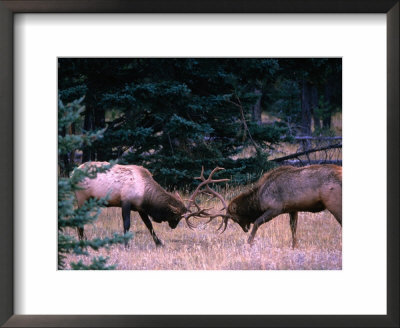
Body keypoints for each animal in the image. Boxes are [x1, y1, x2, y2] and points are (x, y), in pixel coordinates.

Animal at [73, 162, 227, 246]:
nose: (173, 226)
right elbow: (127, 225)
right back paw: (82, 241)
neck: (145, 194)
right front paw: (126, 245)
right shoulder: (125, 202)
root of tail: (72, 172)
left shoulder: (140, 208)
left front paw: (159, 243)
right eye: (176, 216)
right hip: (82, 197)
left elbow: (149, 225)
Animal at [208, 165, 342, 247]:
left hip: (334, 203)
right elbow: (293, 228)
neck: (259, 199)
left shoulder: (275, 208)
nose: (245, 229)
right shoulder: (293, 209)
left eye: (235, 218)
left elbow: (257, 222)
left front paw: (249, 243)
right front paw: (294, 247)